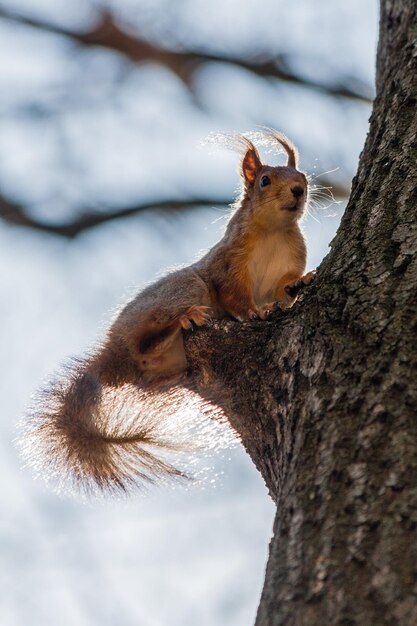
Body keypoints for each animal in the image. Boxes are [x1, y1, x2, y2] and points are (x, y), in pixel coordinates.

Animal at [21, 129, 314, 492]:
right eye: (264, 180)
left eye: (304, 176)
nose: (299, 190)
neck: (273, 231)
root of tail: (114, 354)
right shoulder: (226, 266)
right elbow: (234, 297)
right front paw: (253, 314)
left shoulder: (288, 261)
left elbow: (284, 288)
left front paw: (299, 283)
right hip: (187, 287)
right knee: (146, 342)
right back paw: (186, 319)